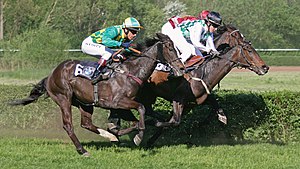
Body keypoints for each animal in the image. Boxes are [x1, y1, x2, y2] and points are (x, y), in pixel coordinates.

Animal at [8, 32, 183, 156]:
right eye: (169, 47)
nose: (181, 68)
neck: (130, 72)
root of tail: (51, 75)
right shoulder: (117, 102)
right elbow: (140, 109)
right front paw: (137, 137)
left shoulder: (121, 107)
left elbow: (136, 121)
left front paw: (118, 134)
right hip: (63, 98)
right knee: (68, 125)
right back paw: (82, 150)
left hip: (84, 102)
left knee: (86, 123)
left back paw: (108, 136)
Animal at [108, 24, 270, 146]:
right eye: (249, 50)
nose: (265, 67)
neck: (204, 71)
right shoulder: (178, 99)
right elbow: (173, 121)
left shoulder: (193, 102)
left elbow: (211, 107)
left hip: (148, 96)